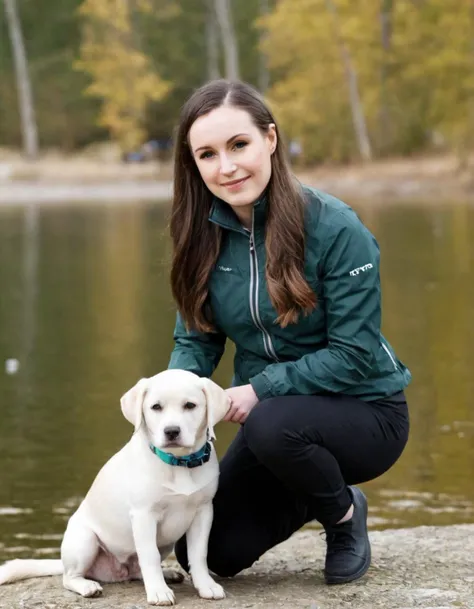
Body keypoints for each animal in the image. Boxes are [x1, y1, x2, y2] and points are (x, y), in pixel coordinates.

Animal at [0, 368, 231, 604]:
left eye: (190, 405)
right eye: (156, 407)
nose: (172, 431)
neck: (179, 463)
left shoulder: (203, 511)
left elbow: (198, 554)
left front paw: (206, 586)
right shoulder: (144, 515)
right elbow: (149, 555)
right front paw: (158, 591)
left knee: (138, 569)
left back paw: (167, 573)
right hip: (84, 540)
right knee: (69, 577)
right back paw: (88, 586)